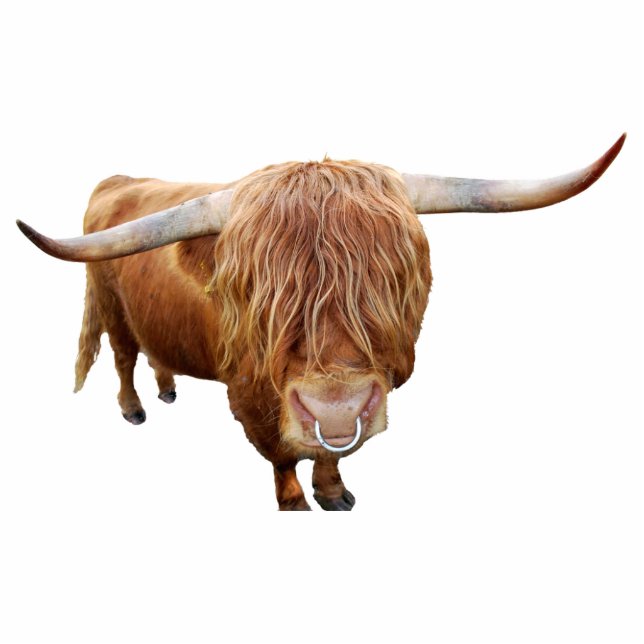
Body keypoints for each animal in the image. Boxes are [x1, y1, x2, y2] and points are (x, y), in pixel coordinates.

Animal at [17, 135, 625, 510]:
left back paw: (167, 390)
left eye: (392, 278)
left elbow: (332, 454)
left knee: (156, 352)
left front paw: (333, 492)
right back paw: (135, 409)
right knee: (124, 357)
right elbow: (283, 455)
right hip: (110, 305)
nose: (336, 407)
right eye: (255, 290)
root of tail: (118, 179)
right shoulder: (250, 395)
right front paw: (295, 503)